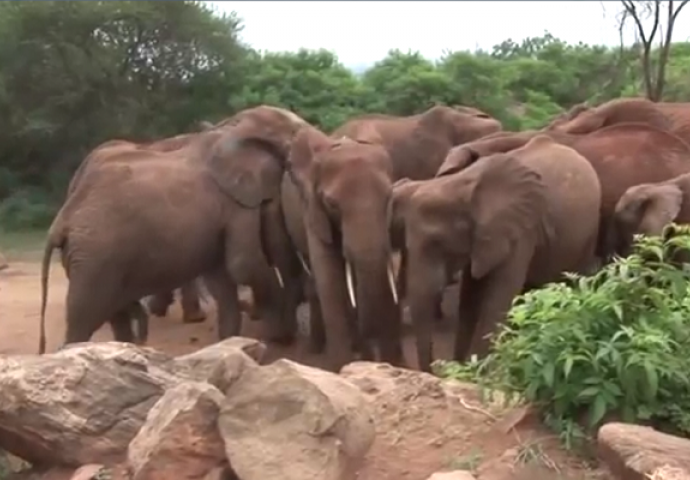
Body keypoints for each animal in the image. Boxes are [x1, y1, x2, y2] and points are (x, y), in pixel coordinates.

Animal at [37, 105, 304, 352]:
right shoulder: (236, 201)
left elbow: (223, 276)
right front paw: (275, 335)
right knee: (85, 317)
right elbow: (244, 265)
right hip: (94, 255)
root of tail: (61, 221)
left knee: (113, 314)